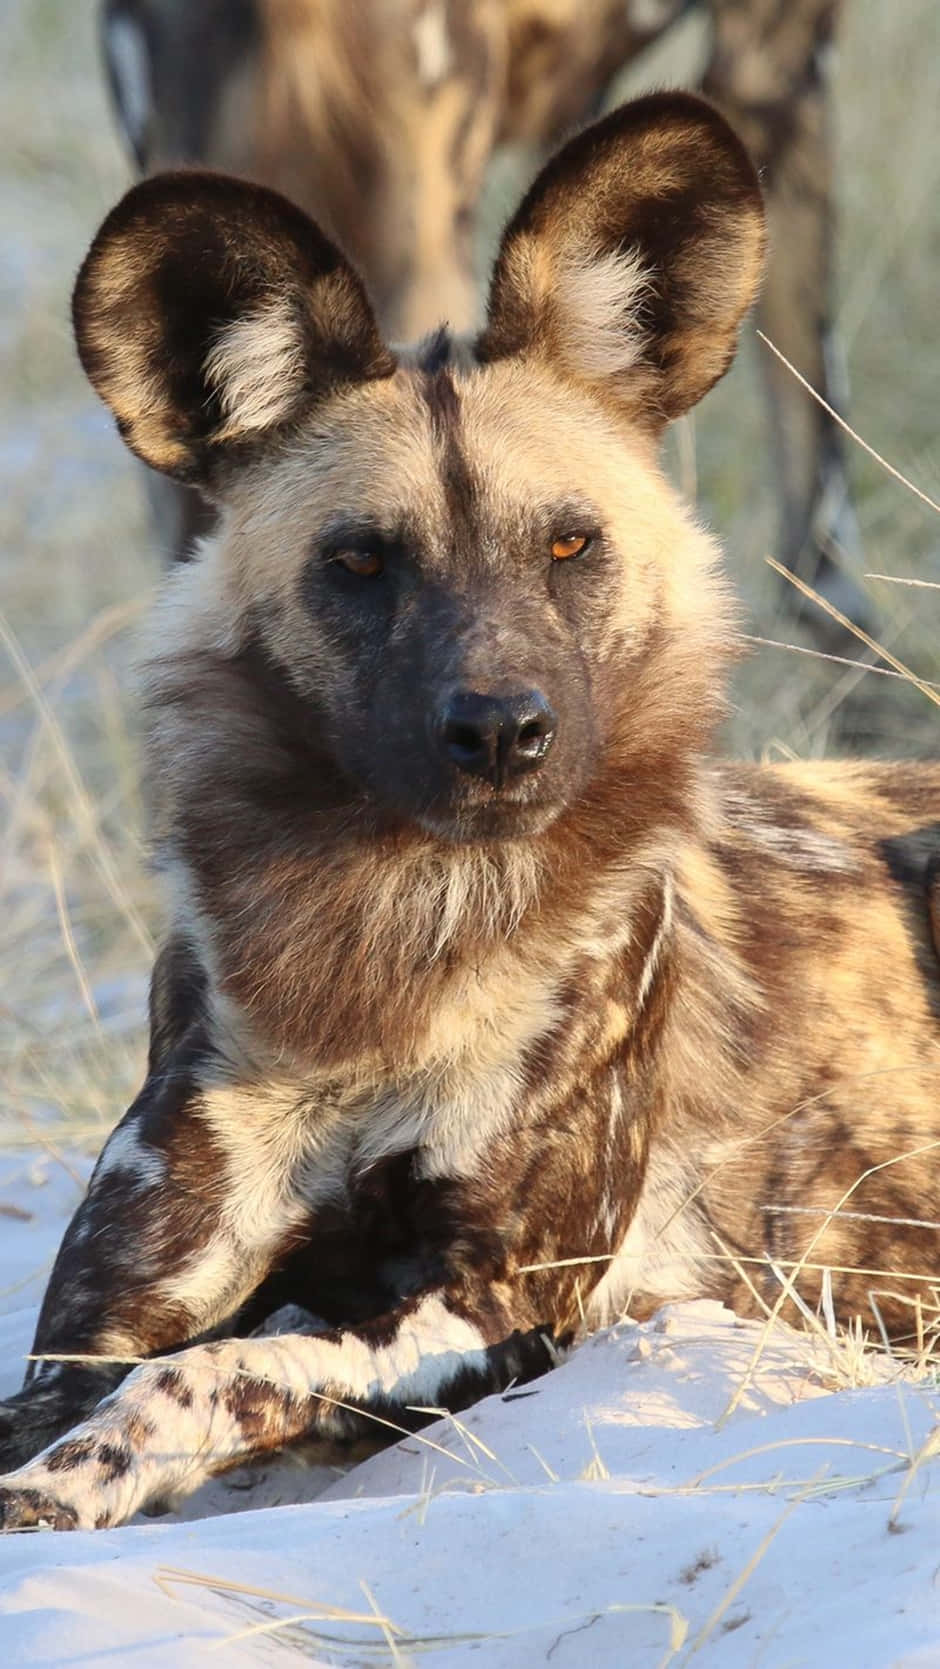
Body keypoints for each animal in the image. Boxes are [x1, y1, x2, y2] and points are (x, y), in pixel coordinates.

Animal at [1, 88, 940, 1528]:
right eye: (359, 562)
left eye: (569, 544)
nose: (500, 732)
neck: (386, 954)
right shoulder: (94, 1326)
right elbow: (118, 1378)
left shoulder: (493, 1306)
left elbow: (211, 1371)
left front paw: (71, 1483)